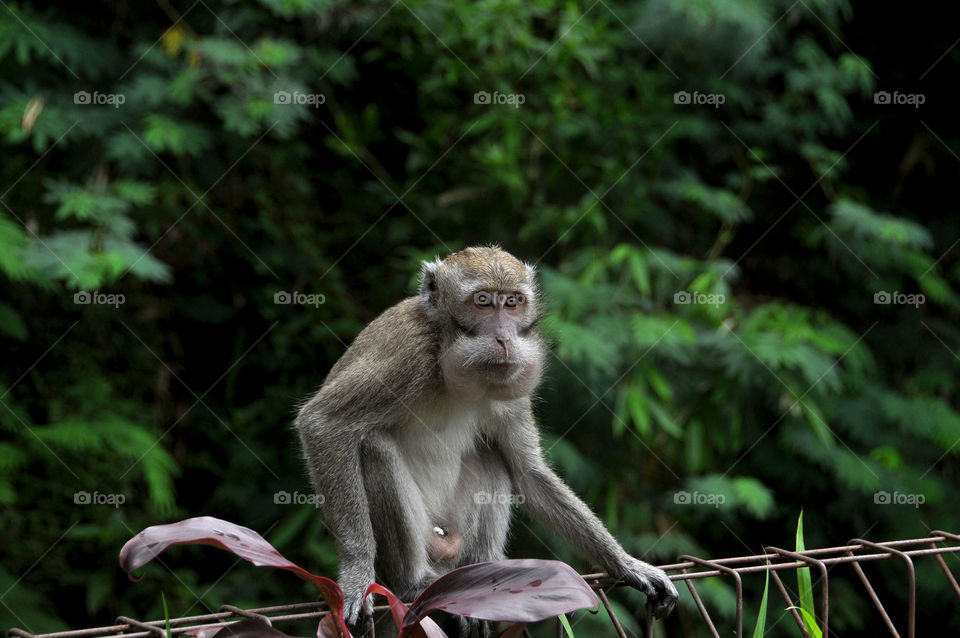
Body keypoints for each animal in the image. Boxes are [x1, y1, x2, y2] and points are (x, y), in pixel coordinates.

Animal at [295, 246, 677, 636]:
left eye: (512, 303)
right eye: (482, 302)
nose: (504, 338)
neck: (448, 350)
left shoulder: (511, 383)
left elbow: (528, 473)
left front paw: (627, 564)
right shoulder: (407, 357)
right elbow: (324, 423)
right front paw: (356, 575)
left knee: (491, 456)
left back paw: (485, 579)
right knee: (376, 448)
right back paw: (413, 583)